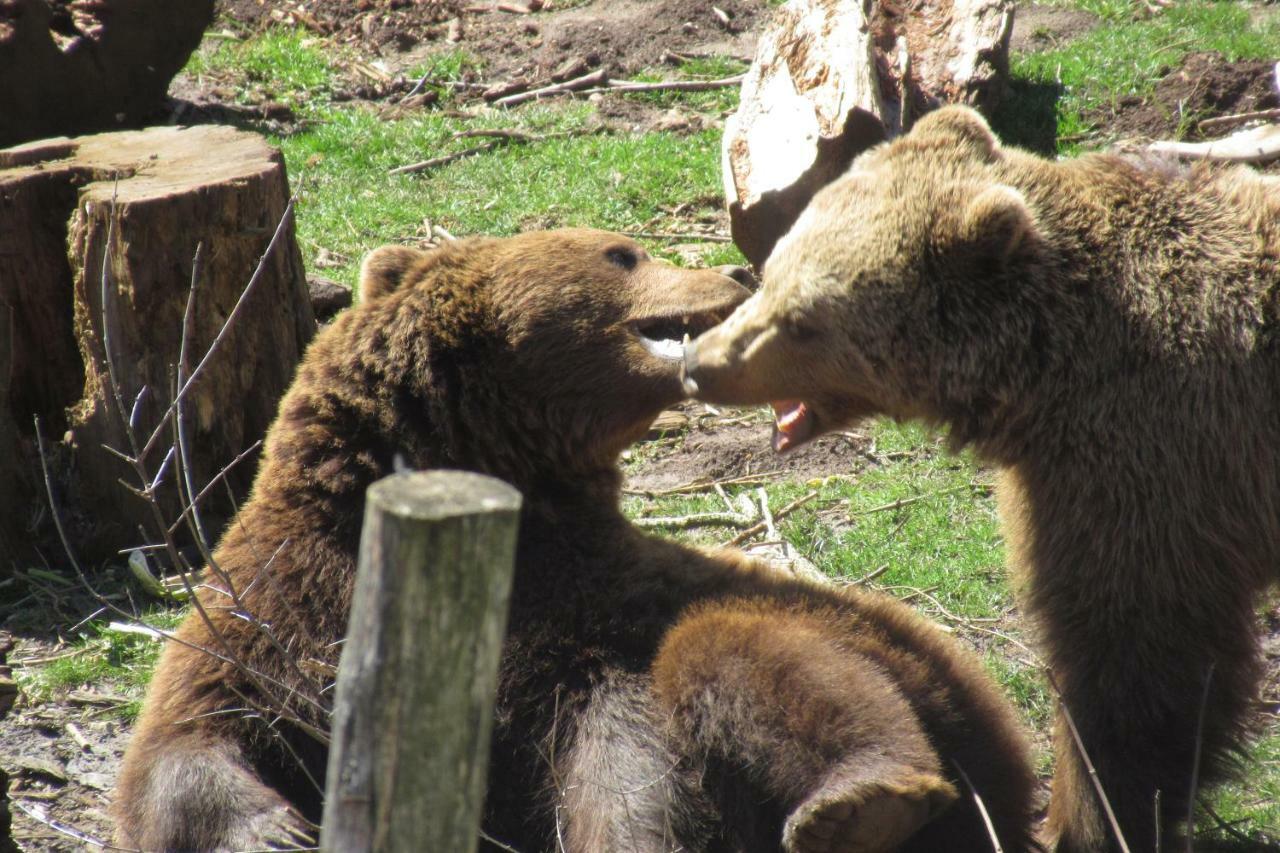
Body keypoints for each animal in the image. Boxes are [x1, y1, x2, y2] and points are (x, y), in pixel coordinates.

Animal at [115, 225, 1039, 850]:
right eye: (622, 253)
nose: (735, 268)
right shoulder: (279, 602)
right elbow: (188, 738)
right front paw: (275, 828)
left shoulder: (586, 627)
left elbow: (627, 764)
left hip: (905, 659)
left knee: (741, 649)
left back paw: (862, 800)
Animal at [686, 104, 1280, 850]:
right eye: (770, 273)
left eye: (804, 322)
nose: (698, 363)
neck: (1049, 368)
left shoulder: (1158, 458)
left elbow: (1135, 653)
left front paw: (1089, 814)